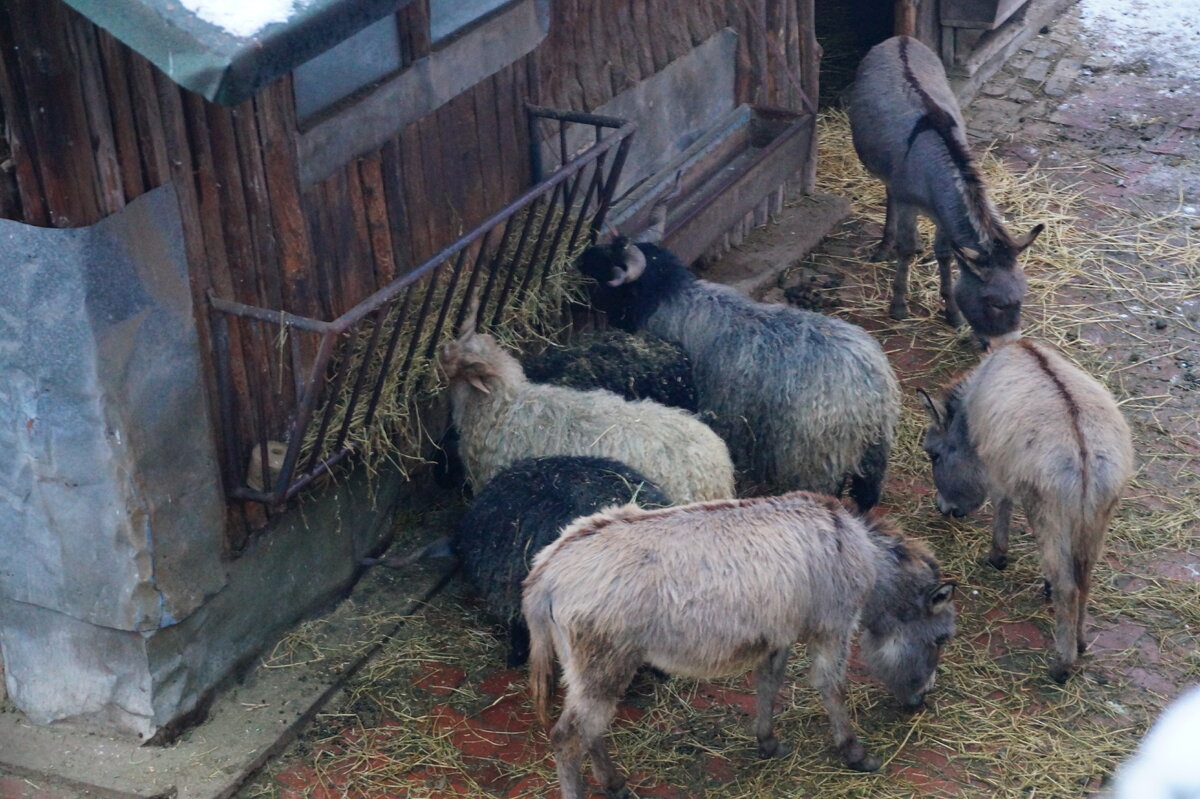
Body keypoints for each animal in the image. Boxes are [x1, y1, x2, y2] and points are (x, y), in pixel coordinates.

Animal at [522, 491, 957, 798]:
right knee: (568, 739)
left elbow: (769, 682)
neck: (857, 549)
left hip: (589, 671)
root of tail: (548, 570)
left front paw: (767, 742)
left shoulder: (778, 635)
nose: (921, 700)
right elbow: (832, 688)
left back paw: (613, 784)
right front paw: (854, 752)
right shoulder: (833, 629)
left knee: (590, 731)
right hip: (604, 664)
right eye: (941, 638)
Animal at [579, 238, 900, 508]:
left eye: (610, 258)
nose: (581, 257)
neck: (669, 297)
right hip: (874, 455)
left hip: (817, 459)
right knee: (867, 494)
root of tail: (871, 388)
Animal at [849, 35, 1044, 342]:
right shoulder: (909, 202)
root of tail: (901, 38)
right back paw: (885, 246)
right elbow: (906, 248)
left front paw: (952, 313)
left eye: (1022, 298)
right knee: (891, 197)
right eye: (993, 303)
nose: (1009, 345)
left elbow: (944, 254)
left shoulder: (943, 212)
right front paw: (898, 306)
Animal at [918, 338, 1134, 683]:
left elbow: (1002, 509)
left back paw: (1061, 665)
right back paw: (1080, 642)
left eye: (933, 456)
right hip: (1096, 521)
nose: (944, 508)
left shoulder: (997, 469)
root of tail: (1084, 451)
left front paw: (997, 558)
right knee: (1084, 580)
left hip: (1049, 515)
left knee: (1068, 588)